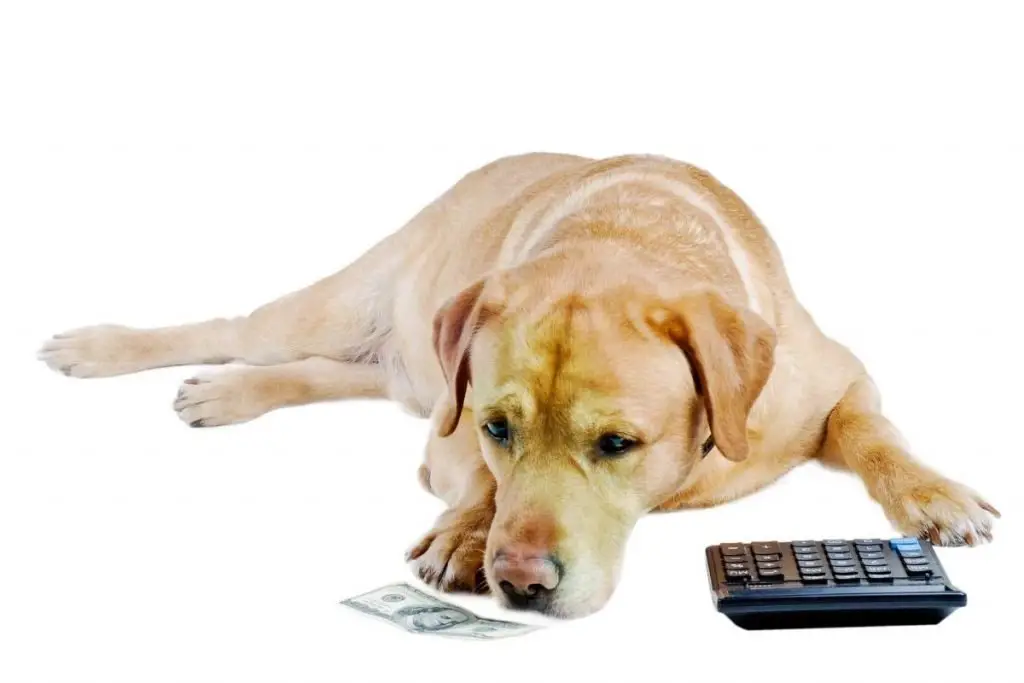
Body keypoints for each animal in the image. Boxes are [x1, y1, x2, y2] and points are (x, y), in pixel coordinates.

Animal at [39, 153, 999, 618]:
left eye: (617, 442)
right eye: (501, 429)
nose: (523, 579)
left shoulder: (839, 378)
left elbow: (875, 433)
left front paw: (935, 495)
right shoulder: (452, 425)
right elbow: (475, 482)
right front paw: (467, 534)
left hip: (387, 366)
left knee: (318, 373)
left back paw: (225, 394)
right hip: (340, 314)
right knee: (235, 327)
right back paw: (105, 348)